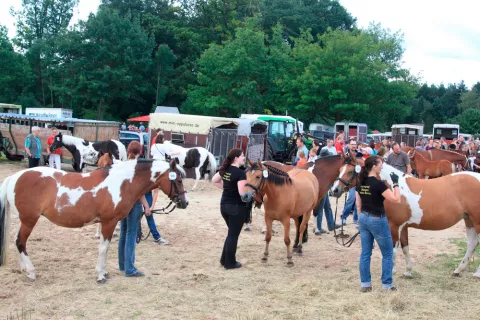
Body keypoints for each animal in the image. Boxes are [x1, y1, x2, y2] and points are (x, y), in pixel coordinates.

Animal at [0, 158, 188, 282]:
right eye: (178, 180)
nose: (184, 203)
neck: (122, 182)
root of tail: (14, 177)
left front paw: (104, 272)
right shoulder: (108, 222)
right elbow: (103, 248)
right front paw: (100, 275)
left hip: (25, 221)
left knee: (19, 242)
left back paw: (24, 269)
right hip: (29, 220)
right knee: (20, 242)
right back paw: (32, 272)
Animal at [334, 153, 480, 278]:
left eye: (350, 171)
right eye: (340, 169)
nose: (334, 190)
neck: (394, 188)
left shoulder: (394, 226)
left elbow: (393, 249)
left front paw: (391, 271)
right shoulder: (403, 226)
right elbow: (405, 248)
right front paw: (408, 271)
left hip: (477, 221)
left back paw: (476, 274)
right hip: (468, 219)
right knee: (472, 243)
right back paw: (458, 270)